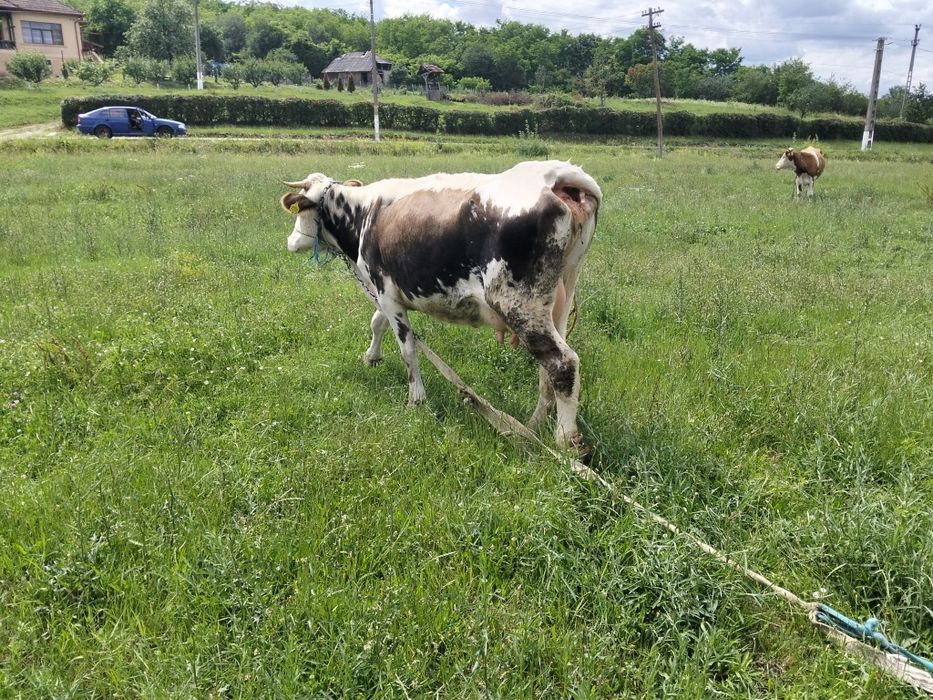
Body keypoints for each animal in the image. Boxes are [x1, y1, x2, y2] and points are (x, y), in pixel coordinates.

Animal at [281, 160, 602, 452]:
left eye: (301, 209)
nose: (290, 241)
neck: (363, 213)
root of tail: (554, 176)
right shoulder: (387, 293)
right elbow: (377, 322)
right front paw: (372, 357)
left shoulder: (386, 291)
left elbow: (408, 349)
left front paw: (416, 400)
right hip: (558, 301)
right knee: (549, 369)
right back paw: (531, 428)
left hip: (519, 305)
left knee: (562, 362)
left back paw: (565, 441)